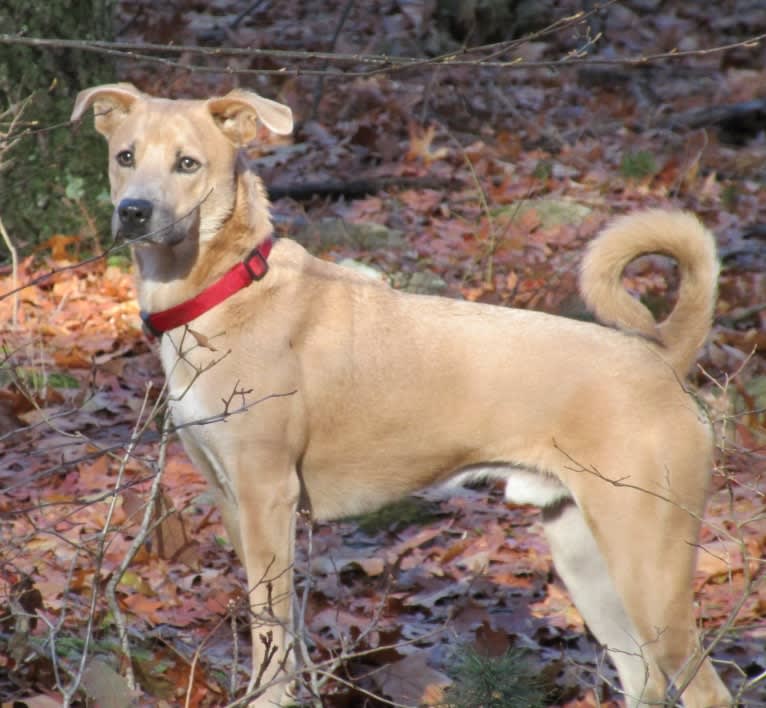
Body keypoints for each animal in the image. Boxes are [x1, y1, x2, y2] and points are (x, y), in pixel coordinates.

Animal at [73, 84, 736, 708]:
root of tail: (663, 359)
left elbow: (270, 633)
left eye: (187, 163)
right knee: (644, 678)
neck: (226, 289)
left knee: (705, 688)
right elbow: (278, 629)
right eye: (125, 156)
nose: (134, 213)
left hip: (648, 562)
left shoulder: (267, 495)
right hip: (584, 554)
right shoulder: (232, 498)